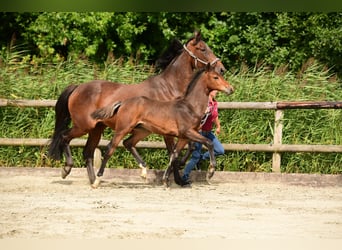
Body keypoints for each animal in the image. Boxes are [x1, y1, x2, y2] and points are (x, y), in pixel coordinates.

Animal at [89, 64, 234, 188]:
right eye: (215, 77)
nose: (230, 88)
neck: (190, 107)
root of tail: (123, 102)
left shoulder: (184, 137)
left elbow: (174, 155)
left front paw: (166, 180)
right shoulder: (188, 132)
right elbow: (209, 142)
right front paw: (211, 171)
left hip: (143, 131)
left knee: (128, 143)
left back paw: (144, 172)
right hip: (123, 129)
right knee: (110, 148)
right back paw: (96, 180)